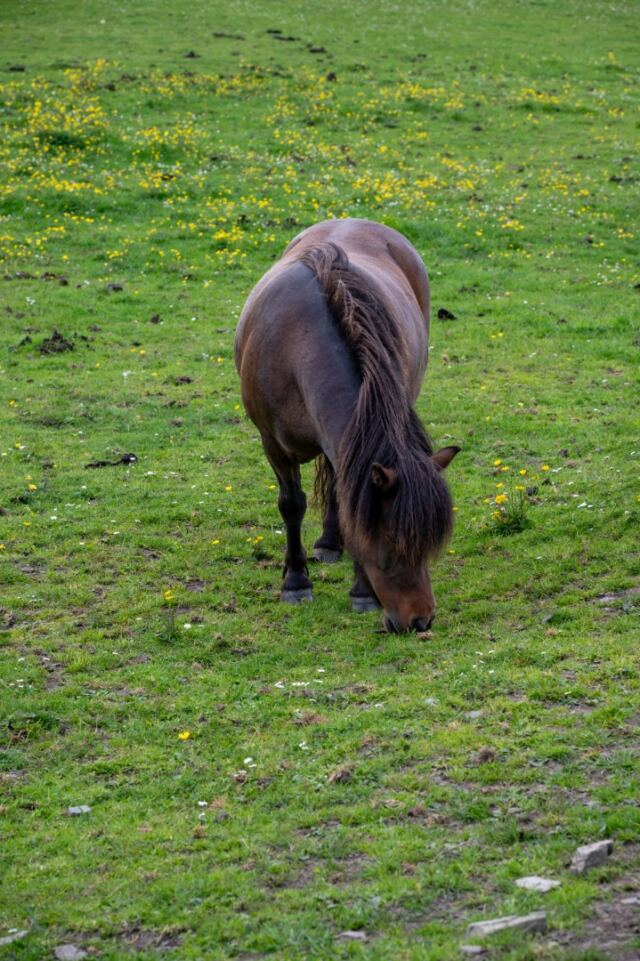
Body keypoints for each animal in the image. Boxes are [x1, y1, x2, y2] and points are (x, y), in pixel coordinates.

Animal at [234, 218, 459, 632]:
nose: (421, 621)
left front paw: (362, 593)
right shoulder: (272, 444)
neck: (298, 342)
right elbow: (291, 505)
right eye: (391, 541)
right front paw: (296, 582)